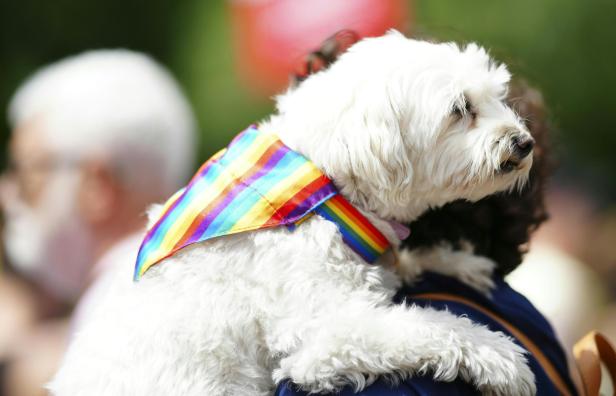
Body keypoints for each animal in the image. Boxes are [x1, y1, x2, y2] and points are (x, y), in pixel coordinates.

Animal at [50, 32, 536, 396]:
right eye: (460, 110)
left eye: (496, 97)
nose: (524, 142)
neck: (326, 188)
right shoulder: (324, 334)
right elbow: (428, 326)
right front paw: (500, 358)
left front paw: (456, 262)